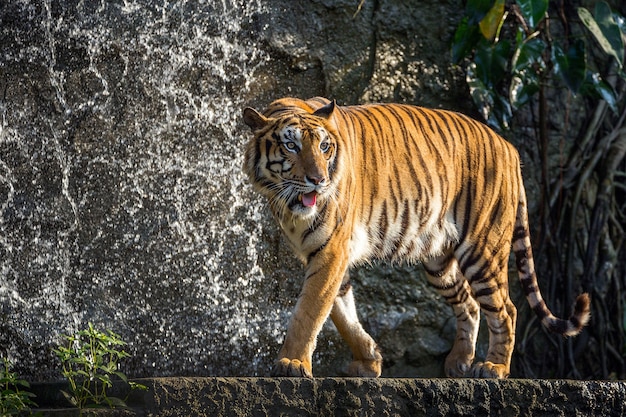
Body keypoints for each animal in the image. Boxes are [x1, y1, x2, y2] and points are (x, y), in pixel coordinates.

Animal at [241, 96, 588, 376]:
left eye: (324, 147)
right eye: (291, 146)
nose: (319, 180)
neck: (286, 203)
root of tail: (510, 148)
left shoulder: (331, 250)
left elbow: (310, 311)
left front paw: (292, 363)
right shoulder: (325, 254)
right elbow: (341, 313)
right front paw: (369, 360)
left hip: (482, 250)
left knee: (507, 309)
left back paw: (494, 367)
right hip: (439, 262)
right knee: (470, 304)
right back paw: (459, 362)